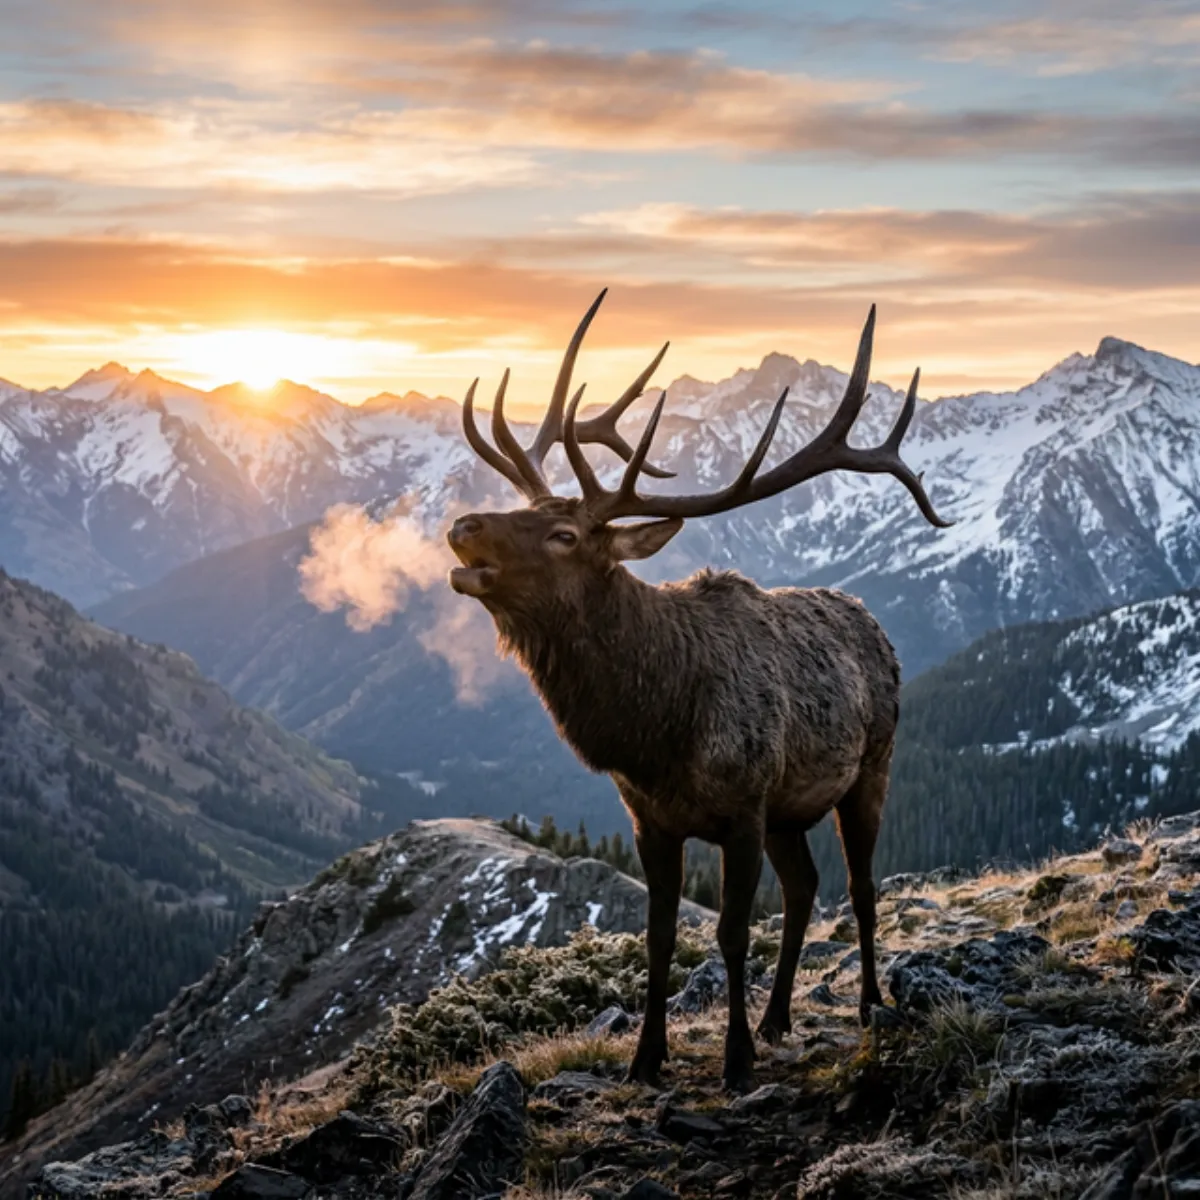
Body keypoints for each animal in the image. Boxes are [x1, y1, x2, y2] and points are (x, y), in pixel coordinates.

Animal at [445, 291, 948, 1092]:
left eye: (563, 534)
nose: (465, 527)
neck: (656, 732)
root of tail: (870, 620)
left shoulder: (742, 807)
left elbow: (732, 931)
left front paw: (735, 1060)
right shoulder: (652, 819)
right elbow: (659, 938)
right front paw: (647, 1058)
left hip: (872, 765)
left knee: (861, 887)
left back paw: (869, 1002)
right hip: (787, 811)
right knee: (804, 887)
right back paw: (777, 1017)